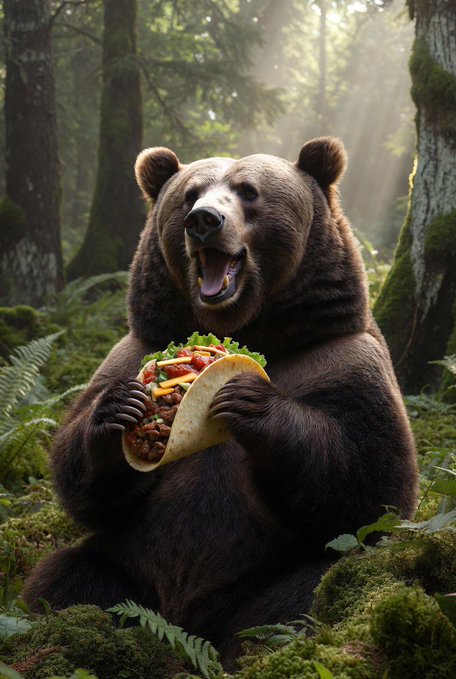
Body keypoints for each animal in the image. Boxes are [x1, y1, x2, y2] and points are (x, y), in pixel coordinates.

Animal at [24, 137, 418, 663]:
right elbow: (83, 480)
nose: (204, 220)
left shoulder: (342, 360)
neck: (249, 326)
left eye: (249, 191)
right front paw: (120, 411)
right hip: (127, 565)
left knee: (308, 595)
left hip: (262, 581)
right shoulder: (128, 352)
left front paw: (248, 399)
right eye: (189, 195)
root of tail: (185, 623)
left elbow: (372, 487)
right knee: (67, 580)